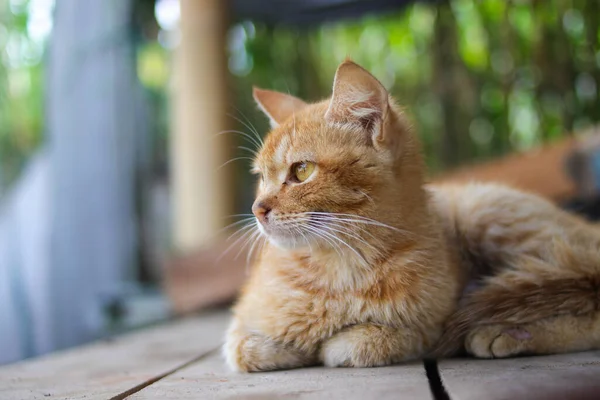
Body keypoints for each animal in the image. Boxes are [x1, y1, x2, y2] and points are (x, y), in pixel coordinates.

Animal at [223, 59, 600, 372]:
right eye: (261, 177)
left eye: (301, 171)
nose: (258, 209)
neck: (339, 269)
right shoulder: (239, 330)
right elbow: (247, 347)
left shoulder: (432, 328)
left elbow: (367, 341)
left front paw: (338, 343)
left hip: (489, 215)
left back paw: (507, 332)